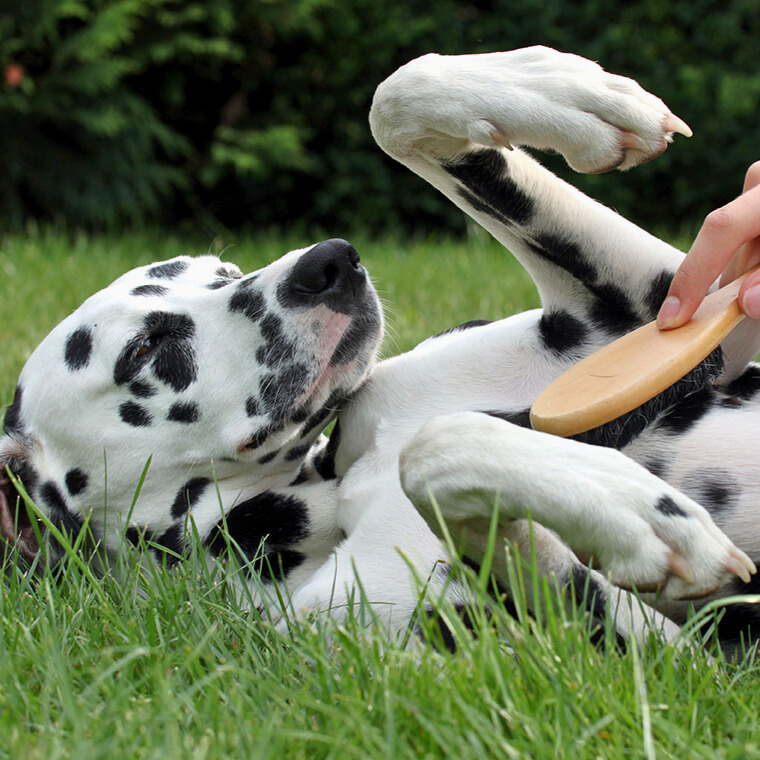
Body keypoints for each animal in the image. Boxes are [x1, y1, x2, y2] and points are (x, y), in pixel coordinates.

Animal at [1, 49, 760, 652]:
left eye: (221, 271)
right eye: (145, 348)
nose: (330, 262)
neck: (330, 484)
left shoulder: (634, 318)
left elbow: (393, 94)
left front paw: (569, 92)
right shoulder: (668, 655)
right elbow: (437, 452)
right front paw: (635, 514)